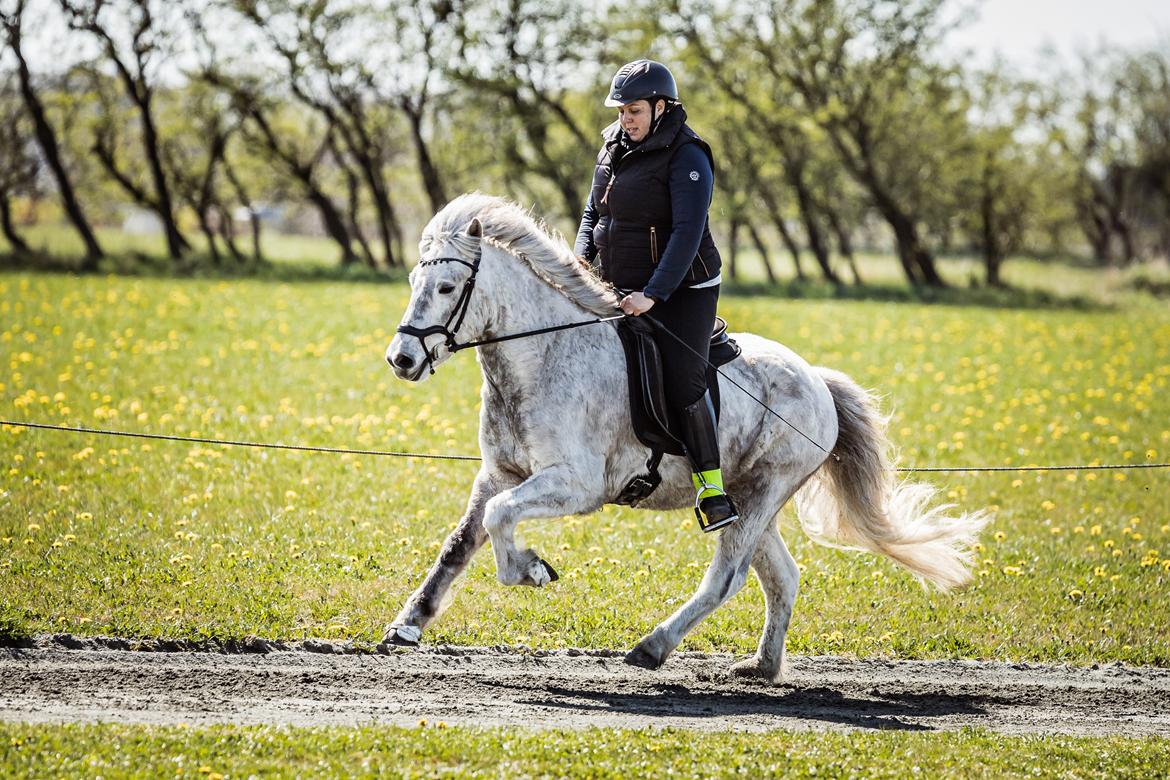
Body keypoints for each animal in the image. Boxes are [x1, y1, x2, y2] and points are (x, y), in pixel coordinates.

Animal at [383, 191, 987, 678]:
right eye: (414, 283)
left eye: (447, 286)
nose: (401, 359)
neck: (543, 355)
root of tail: (818, 382)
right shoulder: (499, 473)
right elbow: (462, 540)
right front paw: (408, 624)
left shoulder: (576, 485)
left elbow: (500, 517)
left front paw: (531, 570)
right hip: (748, 499)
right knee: (782, 578)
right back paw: (762, 667)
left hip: (764, 491)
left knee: (728, 577)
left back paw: (653, 647)